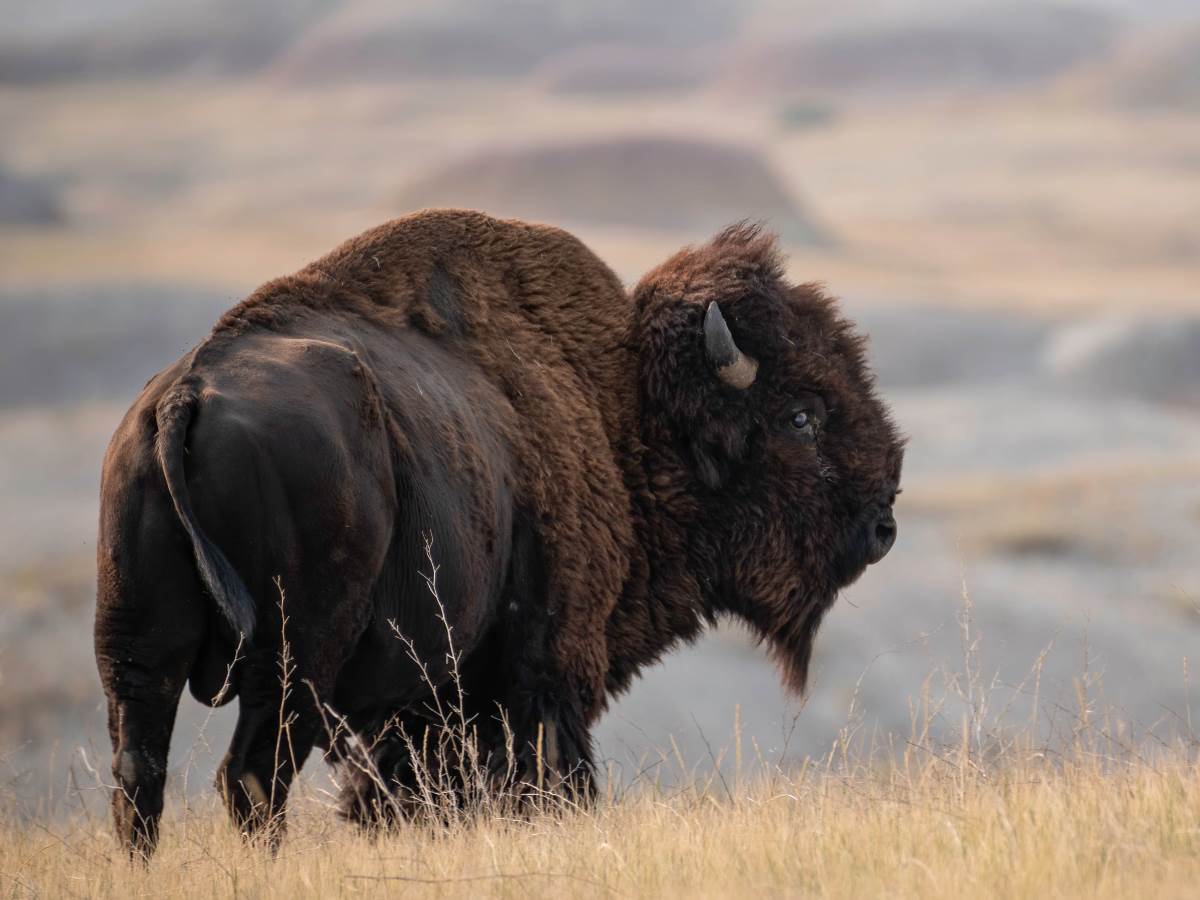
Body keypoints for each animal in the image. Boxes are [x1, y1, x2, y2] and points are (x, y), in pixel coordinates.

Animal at [96, 207, 902, 854]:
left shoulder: (417, 707)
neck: (624, 411)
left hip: (138, 651)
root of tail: (185, 397)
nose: (883, 524)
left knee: (141, 773)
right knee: (250, 779)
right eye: (801, 417)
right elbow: (541, 780)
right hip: (294, 662)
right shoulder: (540, 674)